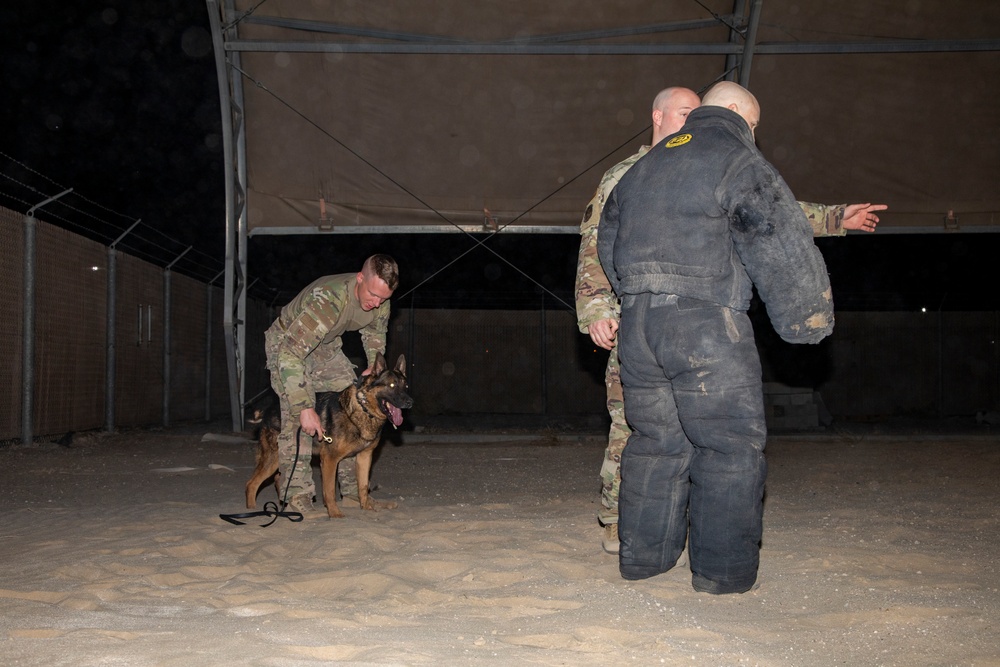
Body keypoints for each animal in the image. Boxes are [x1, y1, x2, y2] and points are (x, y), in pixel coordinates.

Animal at [246, 352, 414, 520]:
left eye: (405, 387)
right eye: (391, 385)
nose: (410, 402)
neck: (363, 409)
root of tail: (268, 409)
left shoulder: (364, 457)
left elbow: (363, 486)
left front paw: (366, 507)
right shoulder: (330, 459)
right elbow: (330, 490)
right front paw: (334, 513)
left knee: (278, 479)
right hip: (274, 458)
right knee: (251, 484)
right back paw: (253, 510)